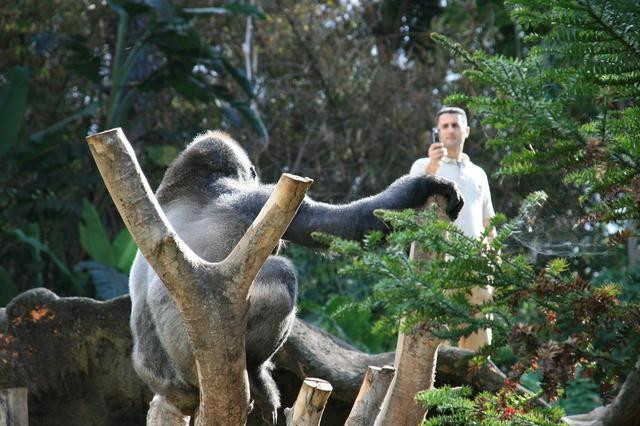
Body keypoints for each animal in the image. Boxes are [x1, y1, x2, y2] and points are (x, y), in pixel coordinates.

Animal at [127, 131, 462, 422]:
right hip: (198, 363)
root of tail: (174, 390)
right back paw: (255, 373)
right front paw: (425, 184)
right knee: (282, 275)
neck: (188, 186)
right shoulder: (257, 198)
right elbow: (338, 223)